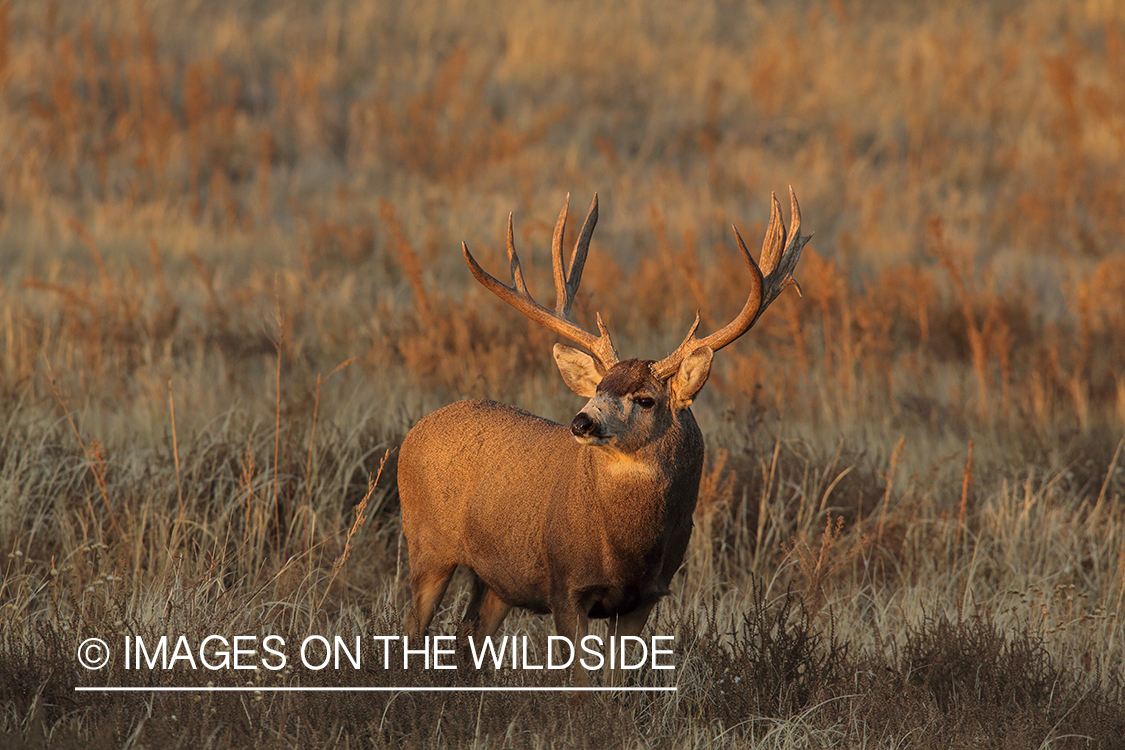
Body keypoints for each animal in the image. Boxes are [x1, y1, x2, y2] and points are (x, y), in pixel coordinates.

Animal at [397, 188, 809, 686]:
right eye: (597, 389)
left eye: (646, 399)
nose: (582, 422)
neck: (626, 547)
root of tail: (415, 430)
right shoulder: (566, 585)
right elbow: (580, 684)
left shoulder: (645, 596)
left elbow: (615, 681)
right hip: (427, 545)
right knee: (412, 628)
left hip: (497, 578)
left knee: (467, 634)